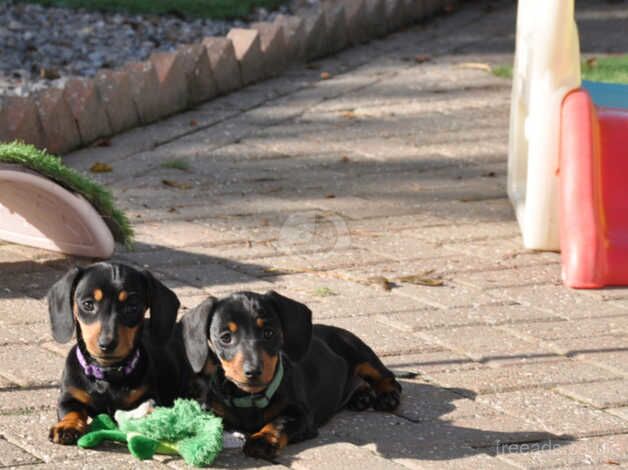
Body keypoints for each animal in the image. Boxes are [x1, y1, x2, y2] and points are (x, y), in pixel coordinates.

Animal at [182, 290, 402, 458]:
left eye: (269, 333)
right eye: (225, 337)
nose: (253, 371)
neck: (250, 398)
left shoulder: (302, 415)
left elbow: (279, 422)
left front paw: (262, 440)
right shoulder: (212, 408)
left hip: (360, 352)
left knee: (388, 377)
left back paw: (387, 396)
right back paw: (362, 396)